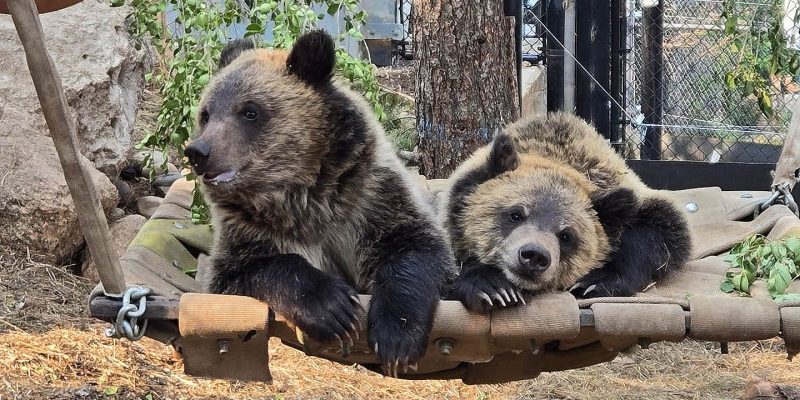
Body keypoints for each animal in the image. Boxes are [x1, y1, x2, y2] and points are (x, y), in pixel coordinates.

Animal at [183, 31, 455, 376]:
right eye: (206, 113)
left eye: (250, 111)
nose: (199, 151)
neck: (303, 196)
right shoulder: (248, 233)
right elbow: (249, 271)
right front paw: (335, 309)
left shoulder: (370, 200)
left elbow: (415, 247)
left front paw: (397, 337)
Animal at [438, 112, 692, 313]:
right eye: (516, 214)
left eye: (567, 236)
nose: (534, 255)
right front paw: (494, 288)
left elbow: (660, 231)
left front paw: (594, 281)